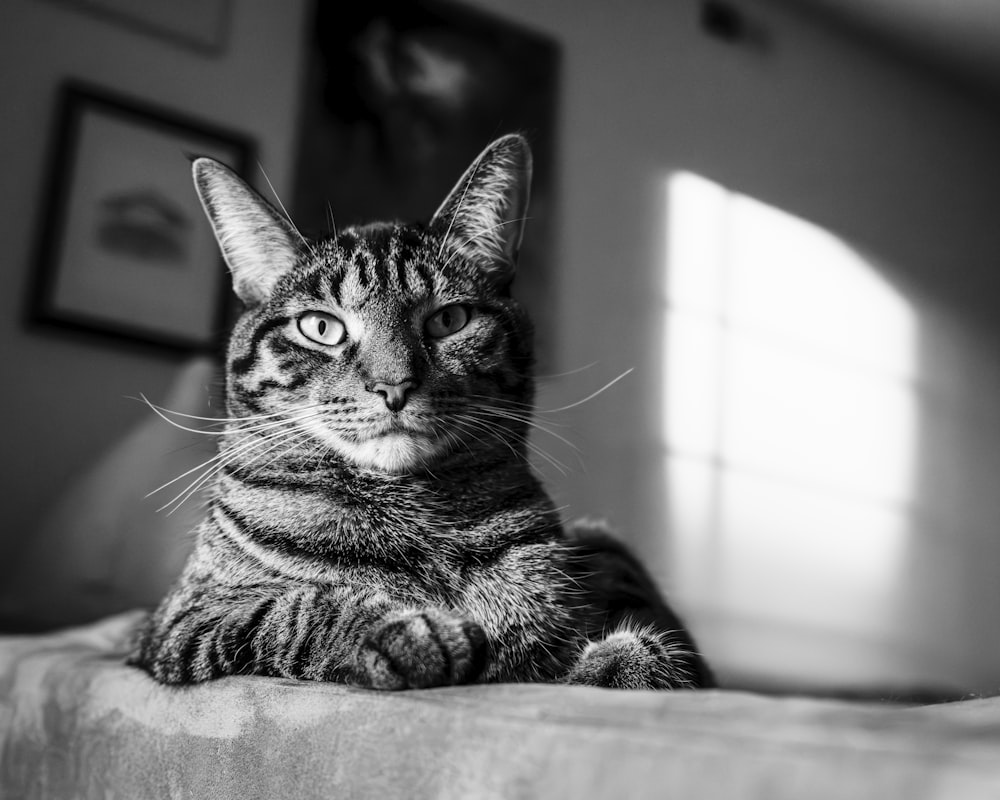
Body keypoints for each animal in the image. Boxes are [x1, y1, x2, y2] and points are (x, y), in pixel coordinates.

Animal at [129, 134, 716, 692]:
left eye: (449, 320)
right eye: (320, 327)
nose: (394, 386)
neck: (413, 518)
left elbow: (665, 651)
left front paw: (626, 662)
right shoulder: (182, 622)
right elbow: (289, 609)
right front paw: (402, 631)